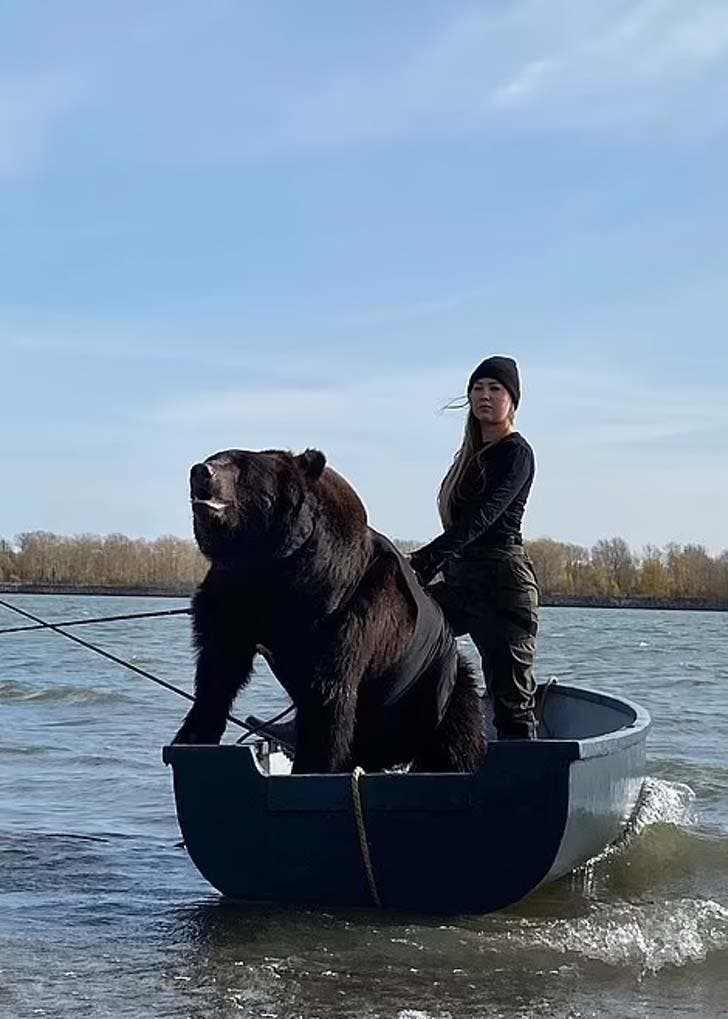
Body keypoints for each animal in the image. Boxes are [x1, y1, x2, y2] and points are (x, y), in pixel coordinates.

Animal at [172, 446, 485, 770]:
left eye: (242, 467)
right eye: (216, 456)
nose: (201, 471)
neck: (273, 563)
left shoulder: (350, 609)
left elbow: (329, 691)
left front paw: (312, 763)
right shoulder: (236, 595)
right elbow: (219, 666)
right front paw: (191, 736)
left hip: (434, 693)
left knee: (455, 741)